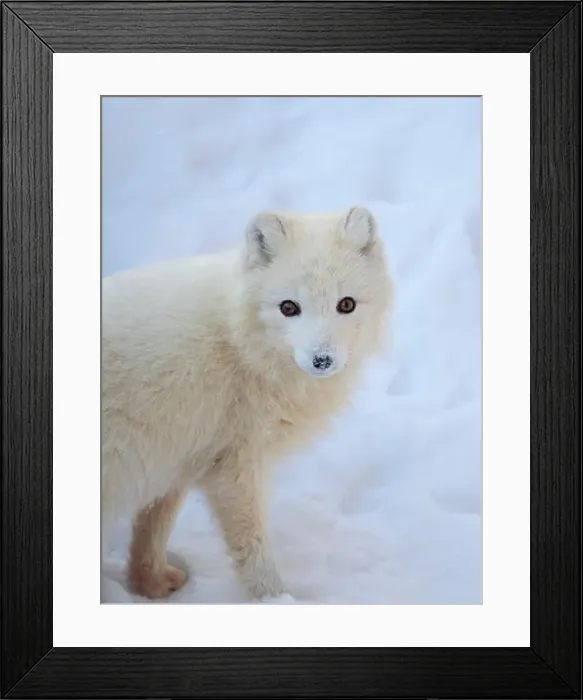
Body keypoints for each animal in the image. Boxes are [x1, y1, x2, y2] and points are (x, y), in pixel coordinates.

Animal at [101, 205, 393, 603]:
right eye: (289, 307)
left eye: (345, 304)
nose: (322, 360)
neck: (239, 346)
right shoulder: (233, 468)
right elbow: (253, 550)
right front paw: (277, 600)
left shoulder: (182, 459)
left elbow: (153, 525)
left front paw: (150, 584)